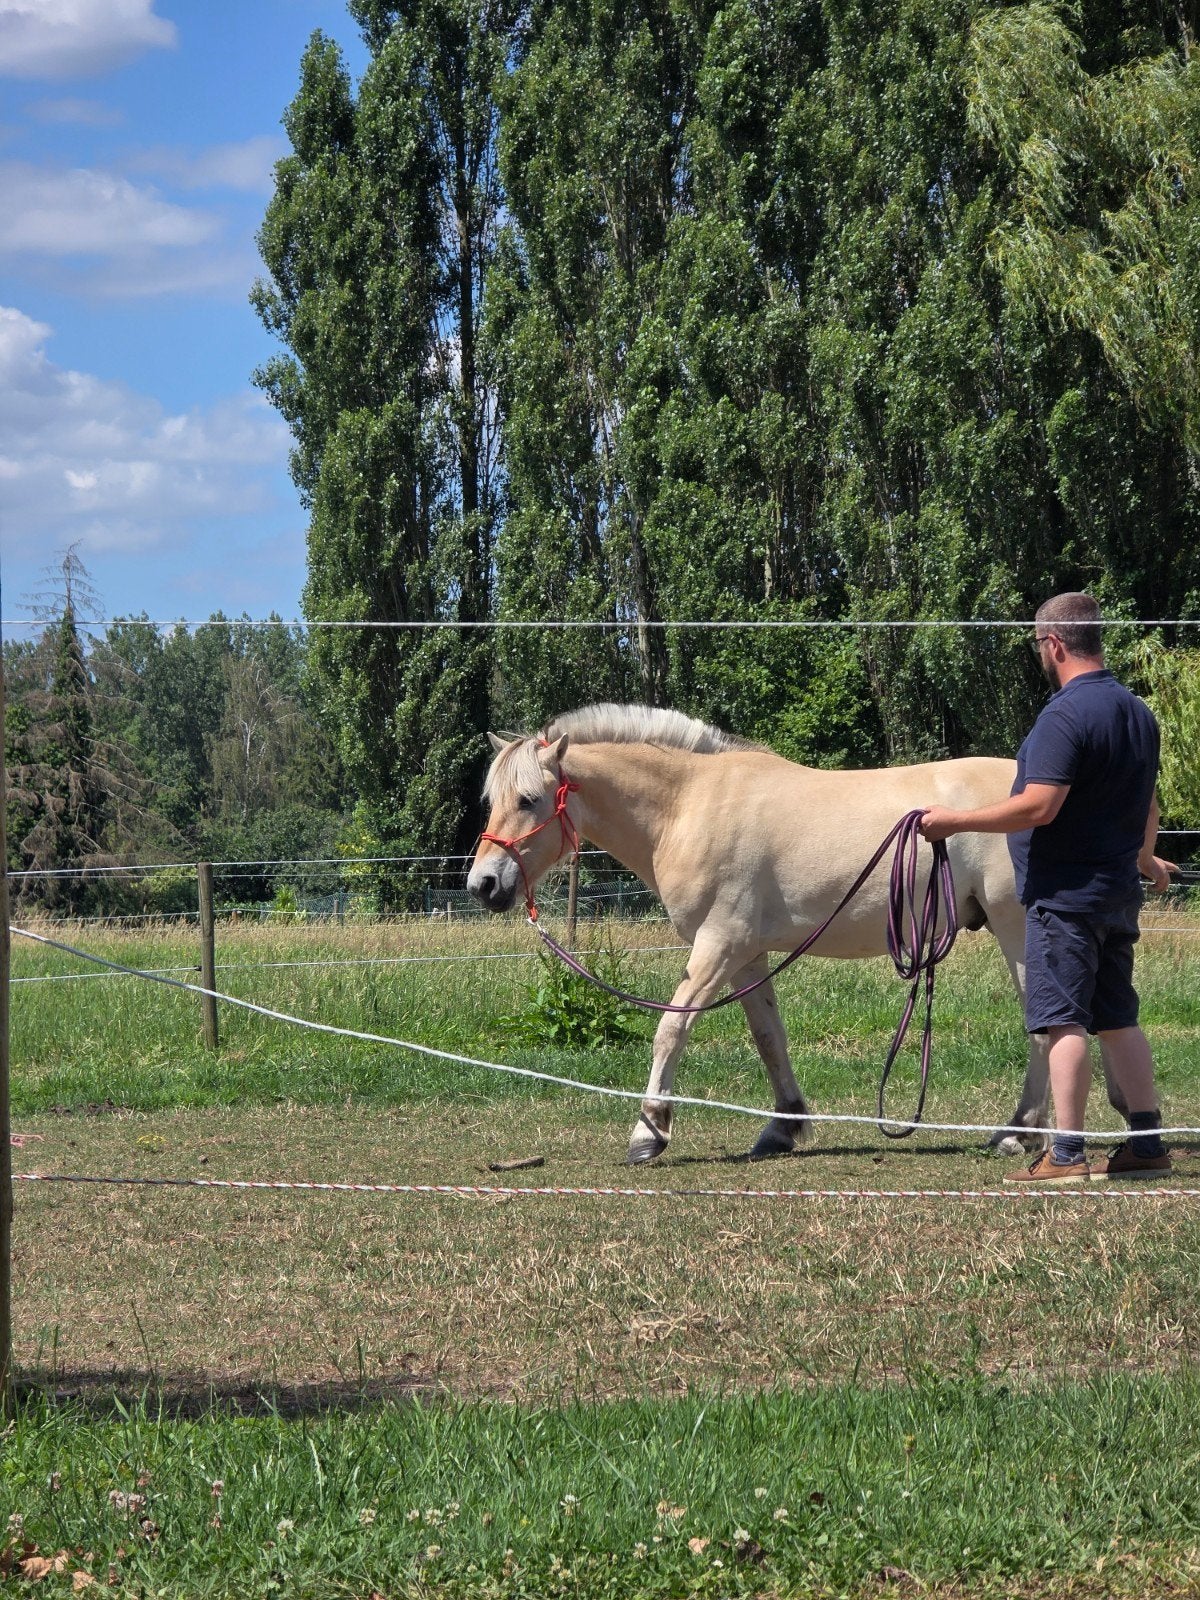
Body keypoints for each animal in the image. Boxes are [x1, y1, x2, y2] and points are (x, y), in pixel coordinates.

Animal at [467, 704, 1129, 1164]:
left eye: (528, 799)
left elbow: (671, 1029)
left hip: (1018, 929)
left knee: (1044, 1023)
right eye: (491, 797)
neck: (687, 805)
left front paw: (648, 1131)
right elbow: (769, 1037)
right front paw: (783, 1125)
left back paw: (1019, 1132)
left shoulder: (718, 945)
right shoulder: (747, 954)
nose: (483, 883)